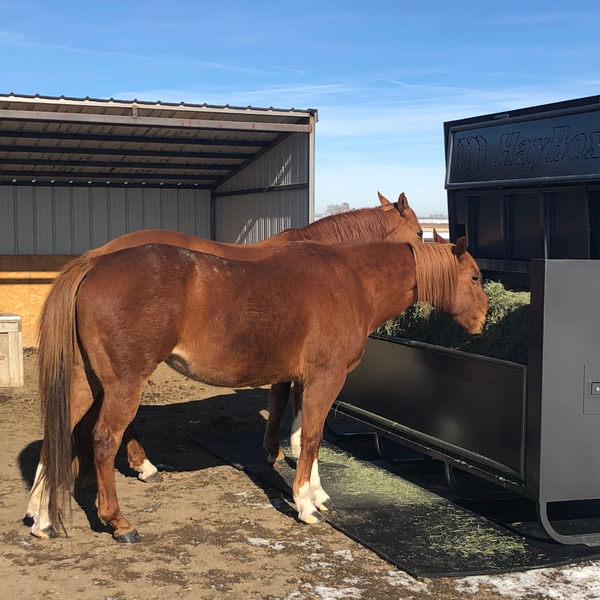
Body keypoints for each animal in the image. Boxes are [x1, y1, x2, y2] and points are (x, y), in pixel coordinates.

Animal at [29, 237, 488, 540]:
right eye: (475, 276)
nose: (483, 320)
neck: (351, 282)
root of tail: (94, 265)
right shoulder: (327, 377)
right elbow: (313, 437)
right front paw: (305, 506)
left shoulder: (307, 379)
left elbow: (305, 436)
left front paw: (316, 493)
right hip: (123, 384)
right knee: (104, 441)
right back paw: (119, 521)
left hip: (85, 382)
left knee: (58, 434)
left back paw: (42, 517)